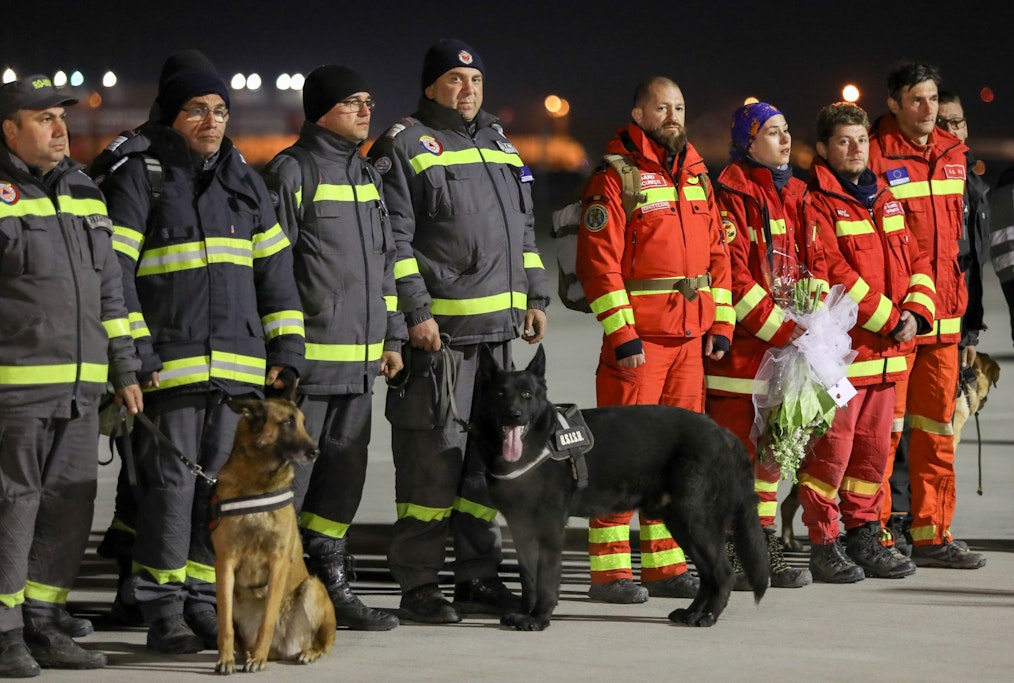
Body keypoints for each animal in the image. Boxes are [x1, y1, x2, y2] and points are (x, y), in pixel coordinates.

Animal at [209, 391, 336, 672]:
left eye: (303, 423)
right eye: (287, 422)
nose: (316, 452)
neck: (258, 484)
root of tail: (283, 649)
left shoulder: (277, 563)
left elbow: (267, 619)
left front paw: (258, 658)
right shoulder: (225, 563)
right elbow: (224, 623)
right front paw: (225, 659)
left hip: (313, 587)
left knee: (323, 643)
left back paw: (304, 652)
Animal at [474, 346, 766, 628]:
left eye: (527, 394)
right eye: (500, 393)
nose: (514, 415)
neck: (539, 441)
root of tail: (723, 432)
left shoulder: (550, 525)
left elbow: (545, 579)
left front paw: (539, 618)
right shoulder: (520, 526)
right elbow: (528, 579)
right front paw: (525, 612)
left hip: (695, 520)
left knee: (722, 573)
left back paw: (708, 616)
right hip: (682, 523)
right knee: (708, 576)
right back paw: (693, 613)